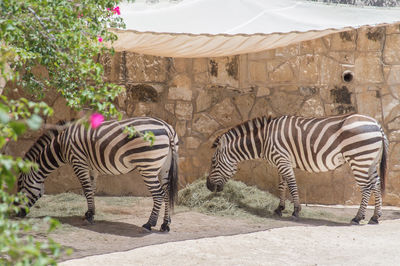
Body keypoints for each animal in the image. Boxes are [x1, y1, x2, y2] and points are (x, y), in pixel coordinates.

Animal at [17, 117, 179, 232]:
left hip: (148, 166)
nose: (16, 214)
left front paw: (89, 216)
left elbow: (86, 189)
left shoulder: (78, 161)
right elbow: (92, 189)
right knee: (166, 193)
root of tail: (167, 128)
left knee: (158, 194)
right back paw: (165, 224)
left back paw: (149, 224)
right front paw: (91, 212)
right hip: (164, 167)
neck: (61, 145)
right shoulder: (91, 167)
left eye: (20, 189)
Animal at [208, 114, 390, 224]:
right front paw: (279, 208)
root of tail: (376, 124)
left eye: (213, 162)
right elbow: (282, 185)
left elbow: (292, 184)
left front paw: (296, 211)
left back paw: (358, 217)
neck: (265, 139)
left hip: (359, 158)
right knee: (375, 184)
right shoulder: (281, 162)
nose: (208, 186)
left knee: (366, 187)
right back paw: (375, 217)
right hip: (370, 161)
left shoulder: (282, 159)